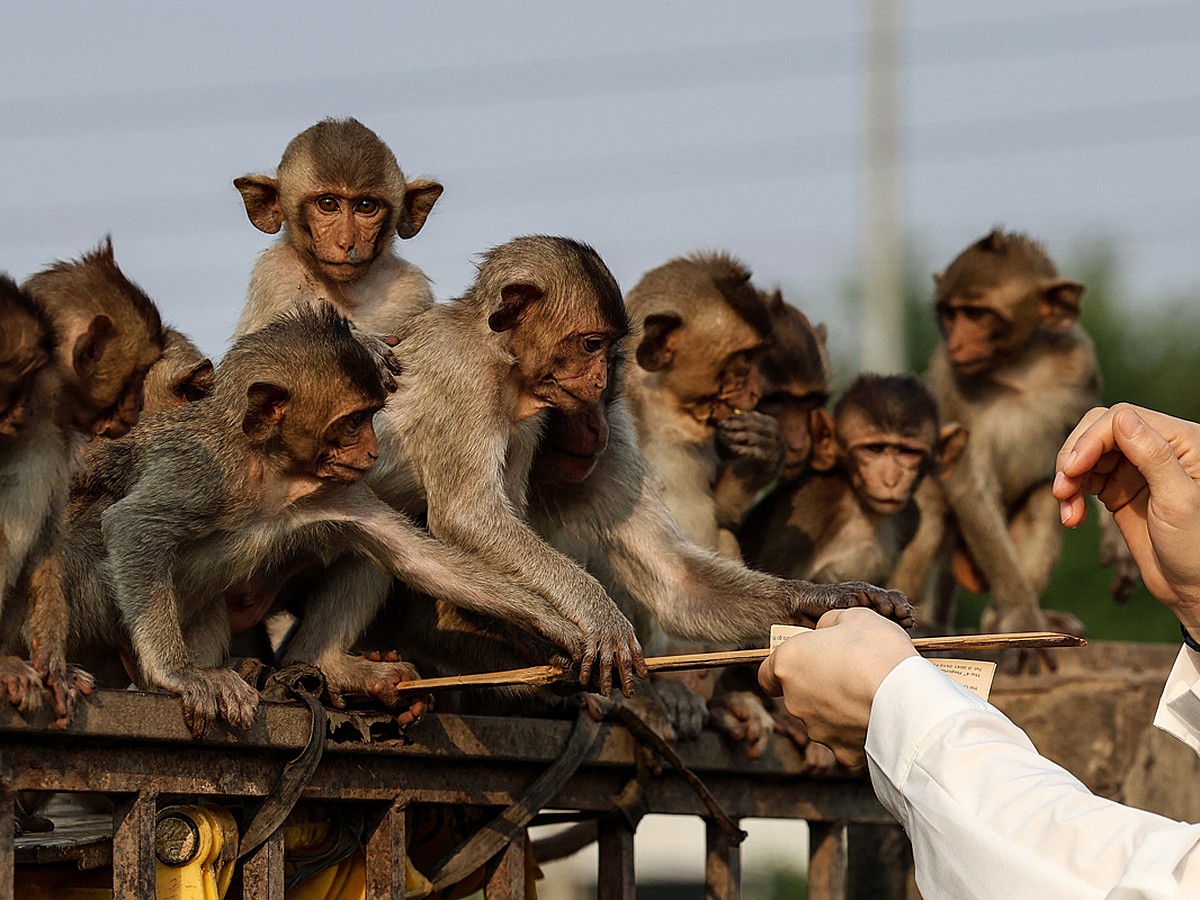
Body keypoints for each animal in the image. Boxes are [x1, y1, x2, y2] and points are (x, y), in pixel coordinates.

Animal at [60, 304, 576, 739]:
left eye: (371, 417)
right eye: (352, 422)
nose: (372, 451)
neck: (273, 470)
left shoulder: (339, 490)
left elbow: (420, 560)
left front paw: (565, 625)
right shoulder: (205, 468)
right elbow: (133, 522)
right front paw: (179, 675)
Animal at [231, 114, 444, 336]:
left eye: (366, 206)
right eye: (328, 204)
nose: (346, 243)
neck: (347, 292)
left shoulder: (413, 289)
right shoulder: (276, 274)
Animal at [902, 232, 1099, 652]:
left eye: (977, 314)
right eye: (949, 313)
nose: (956, 344)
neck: (1017, 369)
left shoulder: (1082, 361)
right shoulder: (952, 382)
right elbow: (969, 487)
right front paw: (1022, 618)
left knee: (1044, 497)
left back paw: (1000, 618)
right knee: (928, 503)